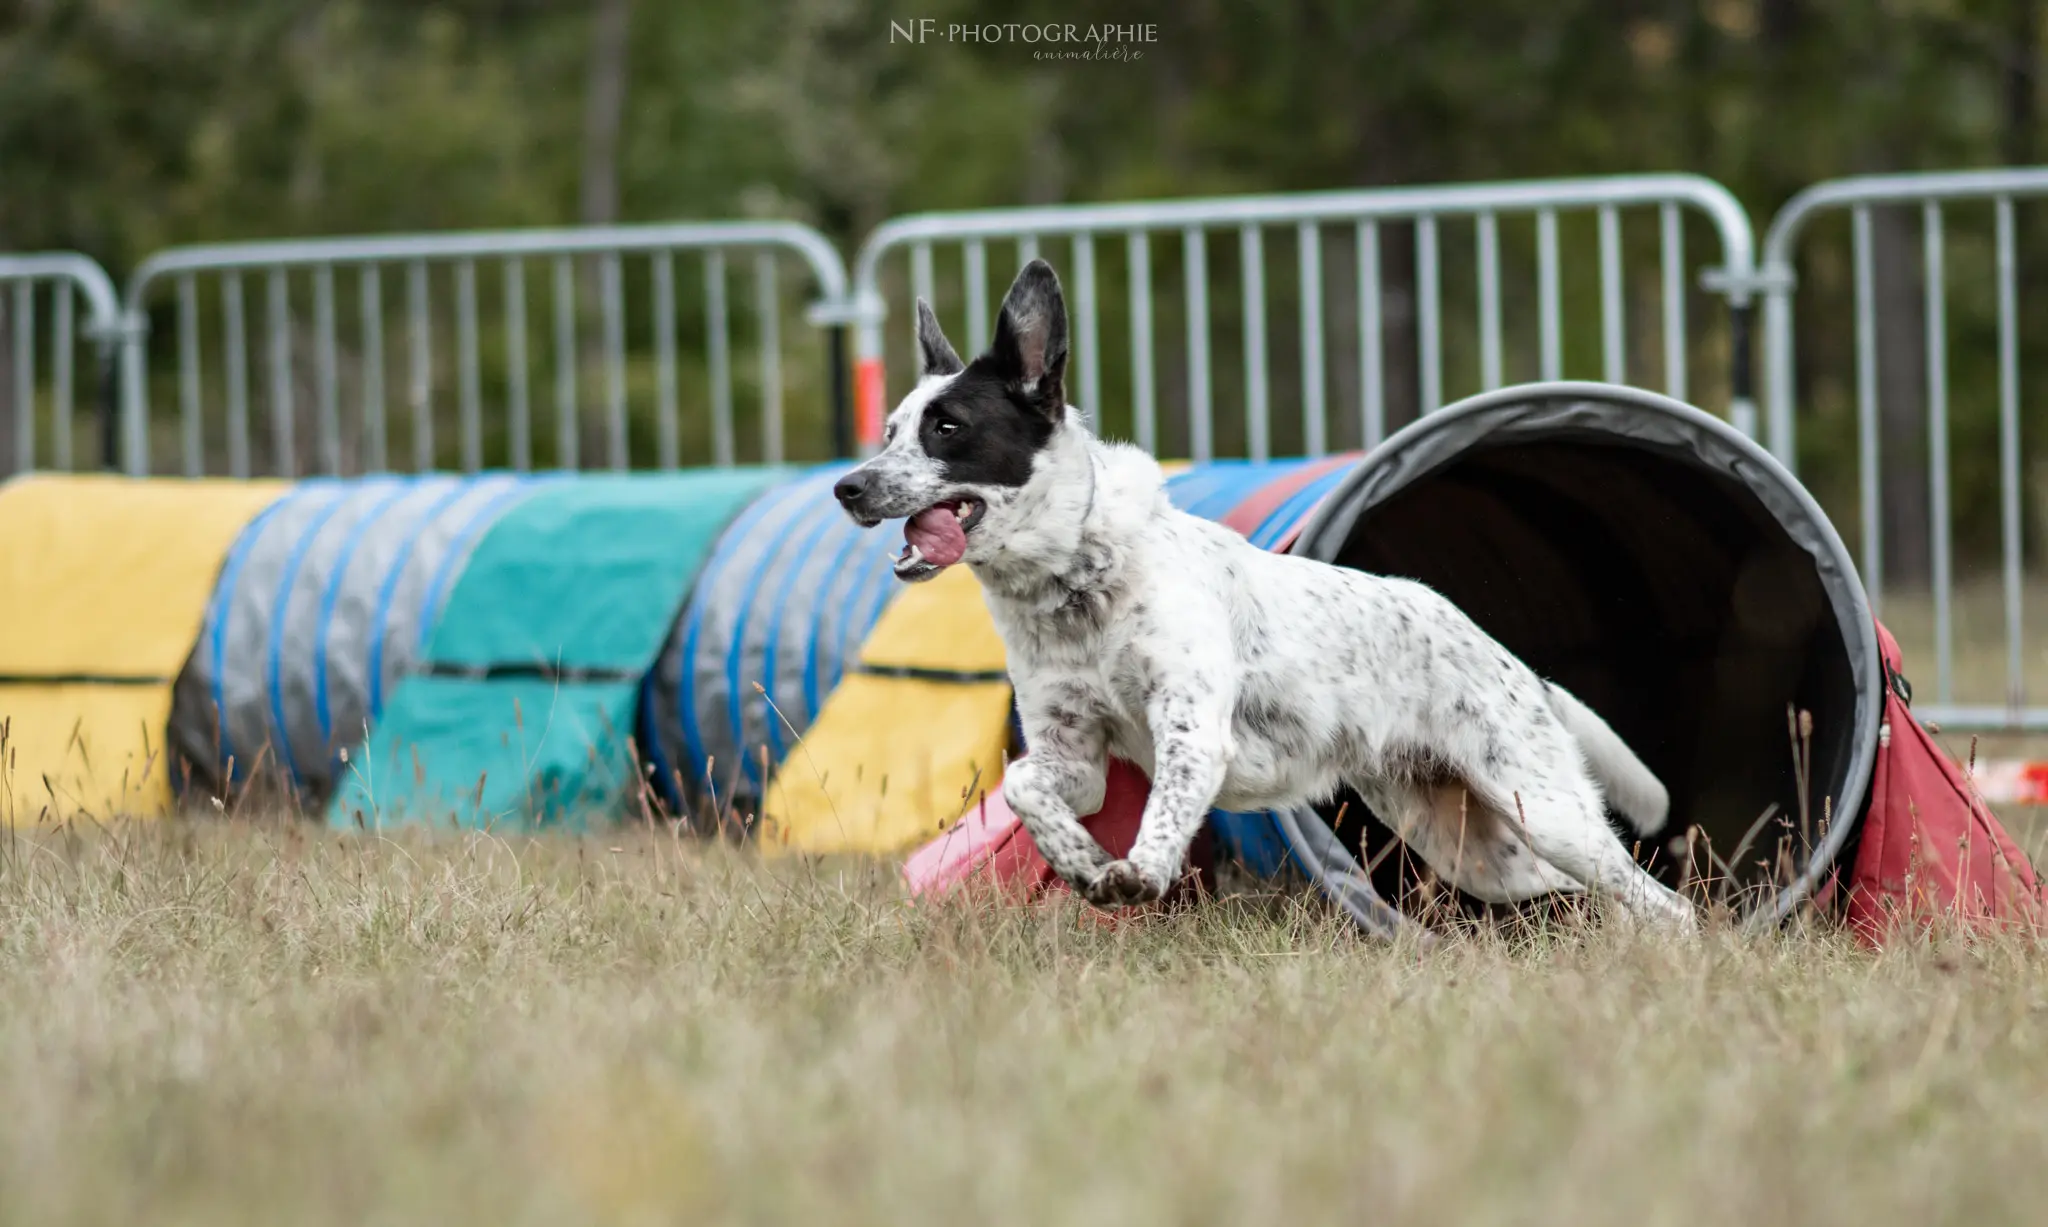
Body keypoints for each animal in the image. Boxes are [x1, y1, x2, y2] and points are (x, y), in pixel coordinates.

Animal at [831, 261, 1695, 929]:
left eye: (947, 427)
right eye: (890, 432)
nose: (847, 487)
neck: (1077, 582)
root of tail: (1515, 665)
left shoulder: (1190, 733)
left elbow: (1160, 817)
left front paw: (1138, 872)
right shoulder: (1072, 758)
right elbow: (1024, 791)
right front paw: (1085, 865)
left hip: (1542, 808)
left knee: (1664, 902)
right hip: (1478, 845)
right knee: (1610, 896)